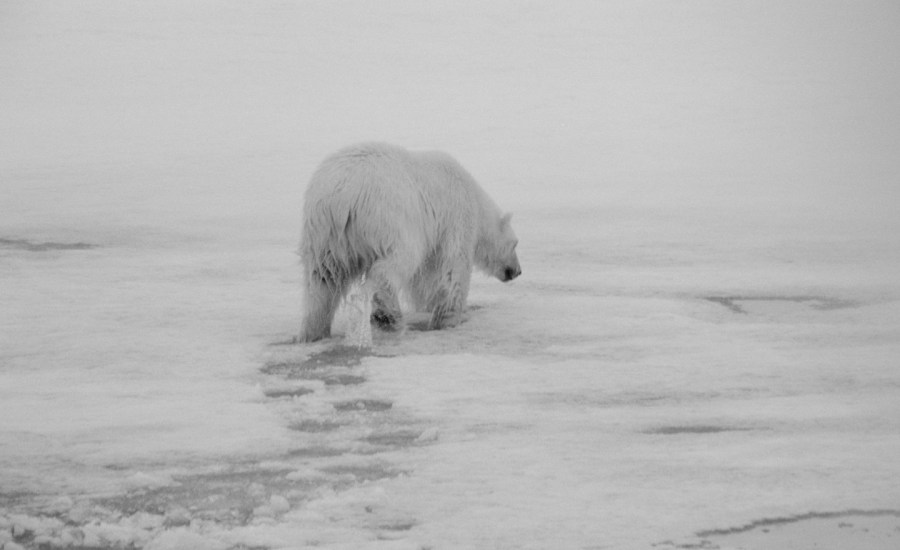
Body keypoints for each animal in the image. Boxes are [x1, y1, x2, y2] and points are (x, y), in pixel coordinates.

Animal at [298, 142, 520, 342]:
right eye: (515, 243)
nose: (517, 271)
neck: (474, 195)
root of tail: (341, 196)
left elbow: (424, 277)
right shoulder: (456, 218)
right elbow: (453, 267)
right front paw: (450, 316)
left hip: (324, 236)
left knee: (321, 281)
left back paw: (315, 330)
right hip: (390, 219)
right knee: (397, 262)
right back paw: (388, 317)